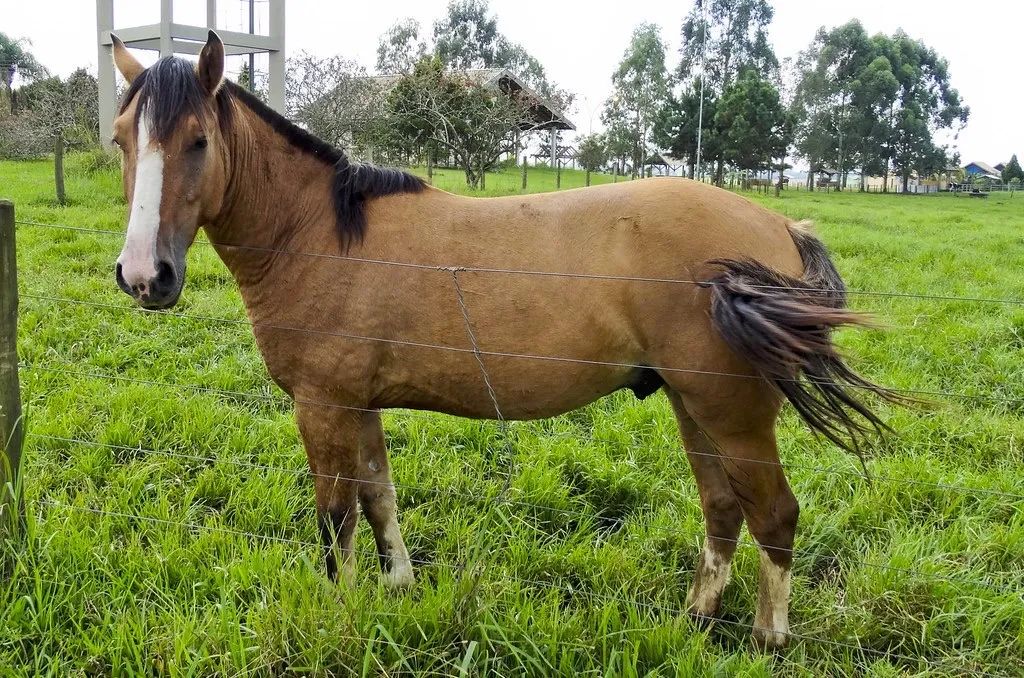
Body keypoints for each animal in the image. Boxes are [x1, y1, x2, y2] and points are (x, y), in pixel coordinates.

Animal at [107, 32, 895, 648]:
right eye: (120, 141)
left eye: (199, 141)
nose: (146, 276)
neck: (319, 234)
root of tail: (781, 225)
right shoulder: (358, 405)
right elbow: (379, 499)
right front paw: (399, 586)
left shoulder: (322, 407)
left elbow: (336, 525)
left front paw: (338, 615)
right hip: (693, 405)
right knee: (723, 510)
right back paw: (695, 620)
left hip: (733, 413)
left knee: (774, 514)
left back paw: (769, 635)